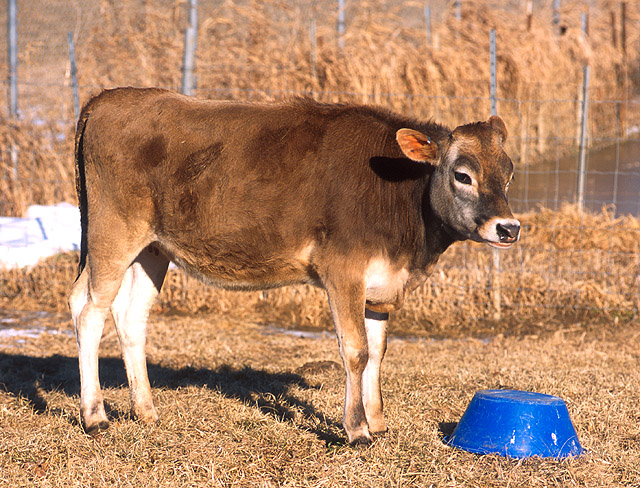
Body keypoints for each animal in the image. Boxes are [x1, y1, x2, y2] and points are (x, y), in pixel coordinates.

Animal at [68, 87, 520, 445]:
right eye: (462, 175)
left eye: (509, 174)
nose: (508, 228)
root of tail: (109, 97)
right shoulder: (343, 270)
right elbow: (355, 350)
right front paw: (357, 430)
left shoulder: (380, 283)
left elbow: (377, 352)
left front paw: (378, 422)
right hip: (113, 231)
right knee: (90, 311)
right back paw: (95, 417)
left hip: (152, 249)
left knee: (129, 317)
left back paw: (146, 411)